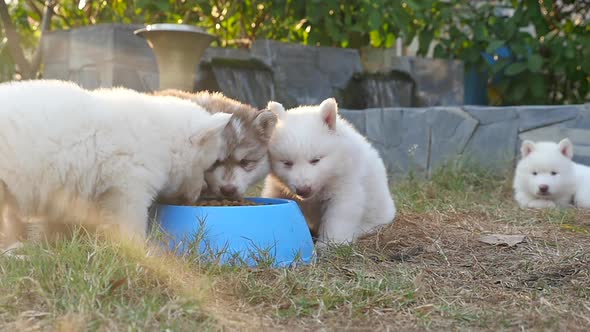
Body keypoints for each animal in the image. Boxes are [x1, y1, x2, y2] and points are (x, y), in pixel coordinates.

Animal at [264, 97, 398, 245]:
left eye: (316, 160)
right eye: (287, 162)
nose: (303, 189)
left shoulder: (345, 182)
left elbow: (339, 214)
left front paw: (330, 244)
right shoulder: (278, 188)